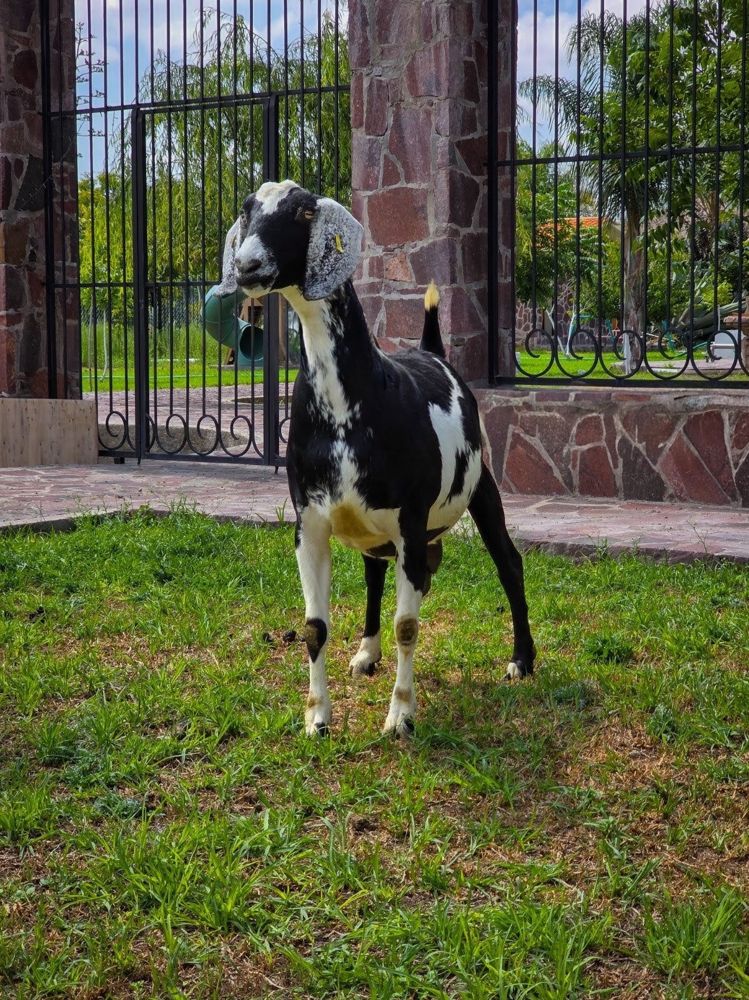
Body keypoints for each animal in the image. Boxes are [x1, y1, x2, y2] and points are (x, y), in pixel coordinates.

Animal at [222, 179, 536, 737]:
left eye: (304, 212)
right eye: (247, 209)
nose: (248, 265)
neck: (356, 399)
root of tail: (432, 351)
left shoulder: (410, 521)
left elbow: (407, 625)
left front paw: (400, 716)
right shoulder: (310, 522)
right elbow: (314, 626)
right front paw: (317, 718)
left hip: (482, 490)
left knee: (508, 564)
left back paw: (522, 659)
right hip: (374, 526)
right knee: (374, 574)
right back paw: (367, 654)